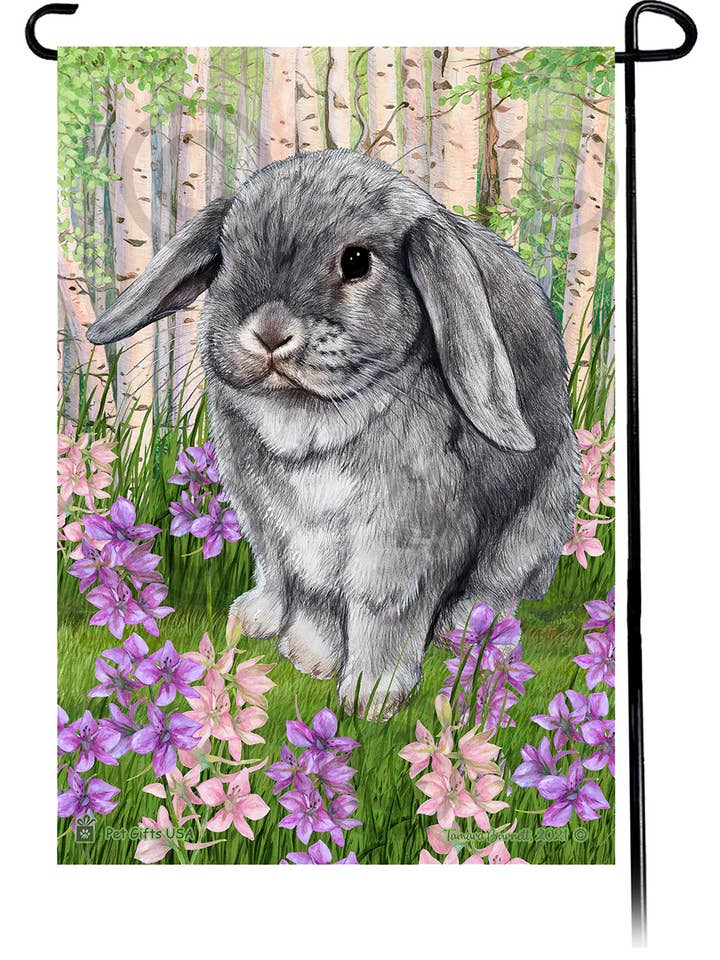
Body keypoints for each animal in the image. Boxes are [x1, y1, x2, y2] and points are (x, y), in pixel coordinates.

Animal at [88, 149, 580, 719]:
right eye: (226, 257)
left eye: (357, 262)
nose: (269, 334)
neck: (312, 418)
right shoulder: (277, 525)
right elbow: (295, 582)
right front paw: (299, 649)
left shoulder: (401, 538)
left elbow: (382, 608)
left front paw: (371, 694)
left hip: (534, 525)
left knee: (501, 585)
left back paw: (468, 632)